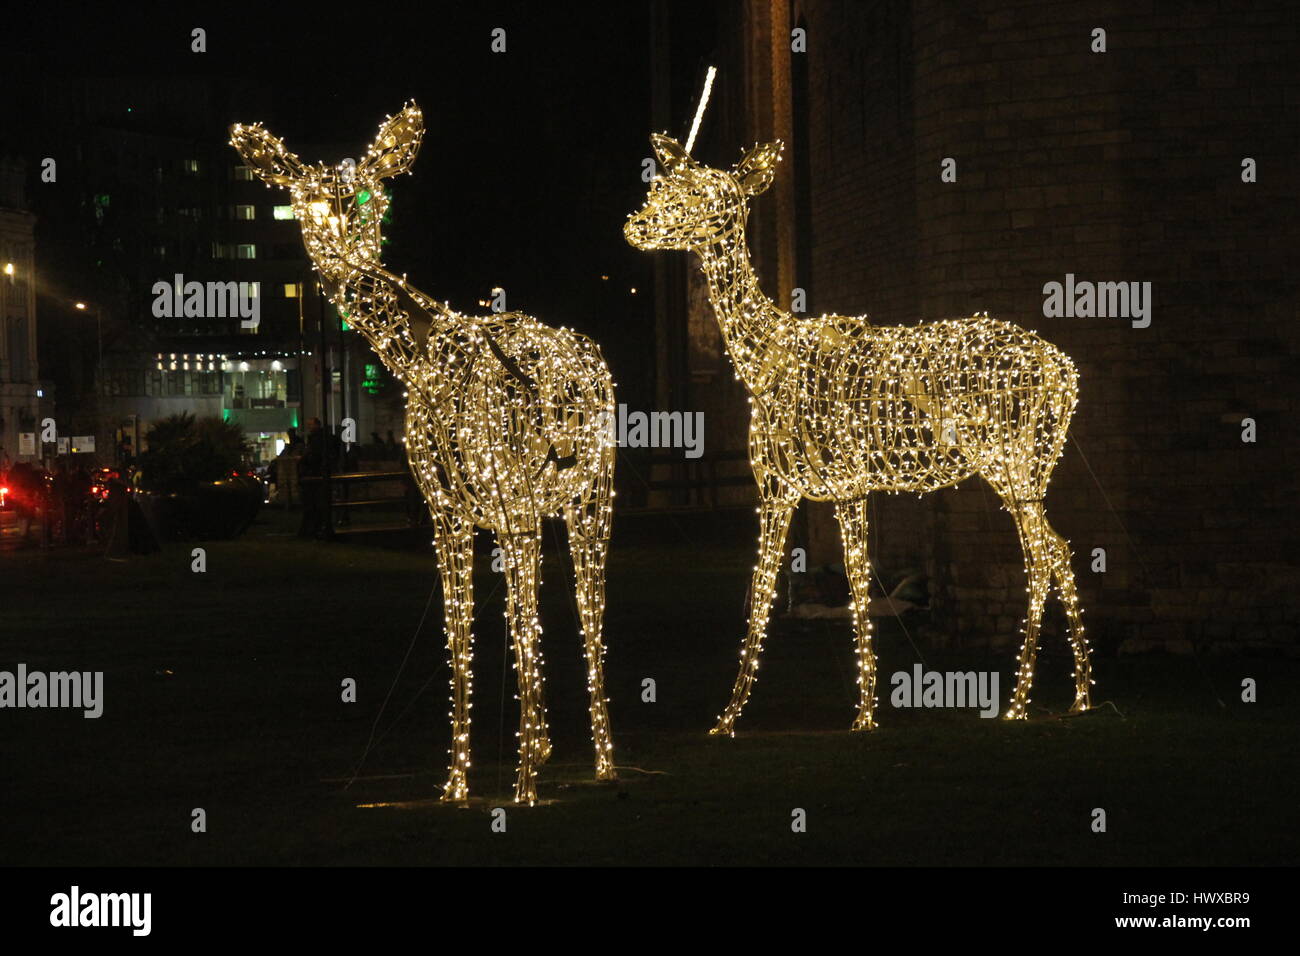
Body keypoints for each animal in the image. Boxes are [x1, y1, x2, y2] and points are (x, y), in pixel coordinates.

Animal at [230, 103, 616, 804]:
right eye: (306, 199)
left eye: (368, 196)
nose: (345, 250)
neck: (422, 361)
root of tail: (587, 352)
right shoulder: (448, 513)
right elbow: (459, 637)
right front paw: (457, 782)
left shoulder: (510, 505)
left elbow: (521, 627)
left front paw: (522, 785)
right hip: (551, 505)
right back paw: (567, 754)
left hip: (590, 498)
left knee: (588, 607)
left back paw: (592, 760)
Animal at [625, 132, 1093, 734]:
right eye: (665, 185)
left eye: (707, 193)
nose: (637, 226)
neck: (762, 363)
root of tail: (1064, 372)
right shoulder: (812, 486)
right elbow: (810, 584)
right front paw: (842, 712)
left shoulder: (813, 481)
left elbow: (807, 584)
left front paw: (836, 714)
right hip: (1032, 463)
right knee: (1057, 548)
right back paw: (1079, 694)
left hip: (1012, 458)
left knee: (1039, 553)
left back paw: (1017, 702)